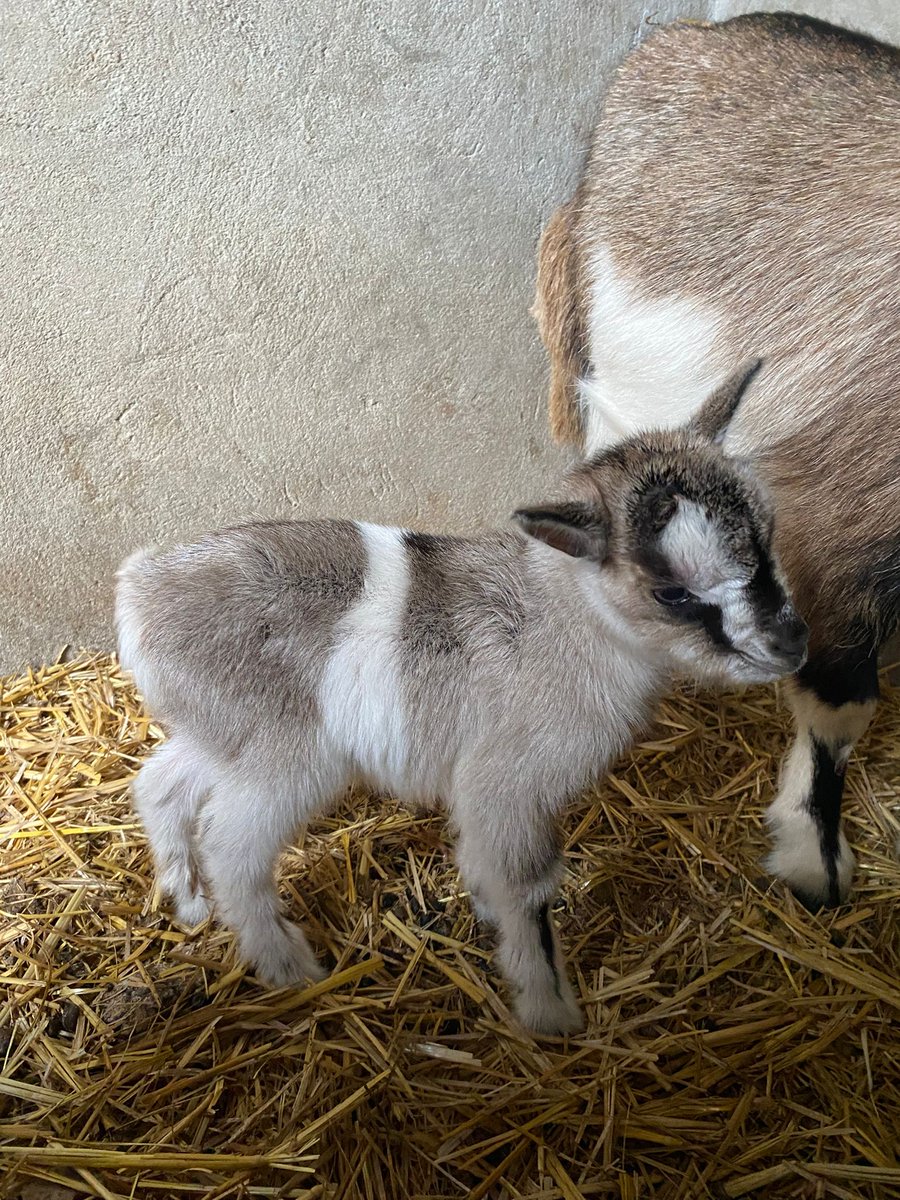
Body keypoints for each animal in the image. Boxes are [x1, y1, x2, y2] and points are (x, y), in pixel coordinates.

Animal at [116, 366, 806, 1036]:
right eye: (671, 592)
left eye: (769, 534)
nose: (791, 643)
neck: (560, 619)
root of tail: (137, 590)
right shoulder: (509, 782)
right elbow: (529, 884)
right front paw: (550, 1015)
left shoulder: (481, 793)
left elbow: (483, 861)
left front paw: (485, 912)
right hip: (285, 753)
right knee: (231, 844)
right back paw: (289, 966)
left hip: (221, 731)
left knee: (160, 784)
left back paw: (188, 901)